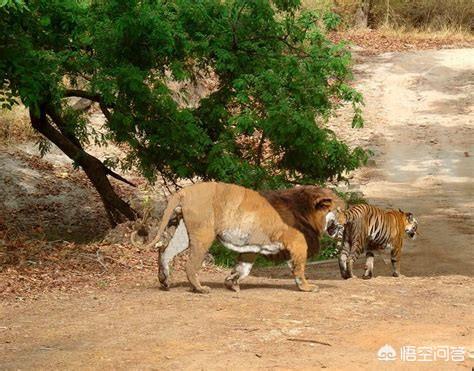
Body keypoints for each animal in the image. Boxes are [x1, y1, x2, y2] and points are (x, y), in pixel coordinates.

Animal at [133, 182, 340, 294]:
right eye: (340, 210)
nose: (345, 222)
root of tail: (184, 191)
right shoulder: (297, 243)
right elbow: (299, 269)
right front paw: (306, 287)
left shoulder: (252, 247)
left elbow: (243, 268)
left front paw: (231, 283)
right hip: (204, 234)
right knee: (190, 265)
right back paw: (200, 289)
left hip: (184, 232)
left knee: (165, 251)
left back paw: (165, 281)